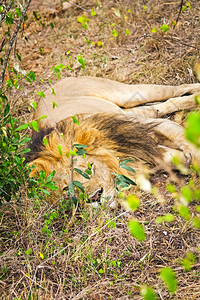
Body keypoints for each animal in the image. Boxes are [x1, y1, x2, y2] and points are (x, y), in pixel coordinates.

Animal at [26, 77, 200, 204]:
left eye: (90, 168)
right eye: (66, 189)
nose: (95, 198)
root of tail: (50, 86)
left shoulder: (146, 129)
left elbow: (182, 137)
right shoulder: (143, 150)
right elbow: (174, 158)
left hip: (128, 93)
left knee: (177, 90)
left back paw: (196, 92)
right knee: (155, 108)